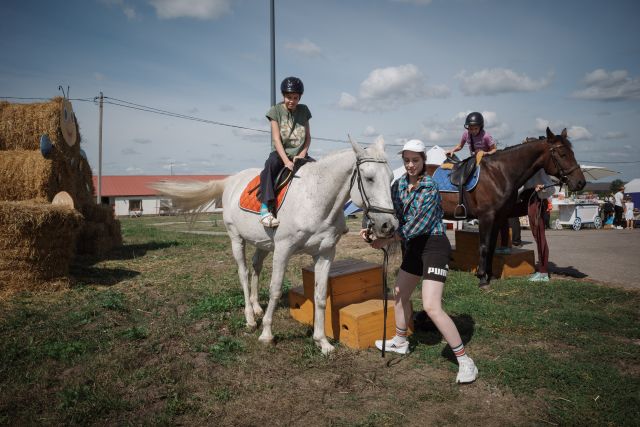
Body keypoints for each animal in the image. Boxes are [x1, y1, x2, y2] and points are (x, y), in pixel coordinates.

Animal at [152, 137, 398, 354]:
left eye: (391, 178)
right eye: (369, 178)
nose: (388, 225)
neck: (314, 199)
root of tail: (231, 180)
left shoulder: (326, 253)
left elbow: (320, 296)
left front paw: (322, 342)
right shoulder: (283, 249)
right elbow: (276, 289)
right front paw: (267, 334)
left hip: (262, 244)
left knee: (255, 266)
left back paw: (256, 307)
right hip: (236, 239)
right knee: (243, 273)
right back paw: (250, 318)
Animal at [428, 127, 588, 288]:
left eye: (572, 153)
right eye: (562, 154)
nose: (581, 182)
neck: (498, 173)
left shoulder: (498, 217)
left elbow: (492, 246)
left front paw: (489, 274)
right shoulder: (486, 216)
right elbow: (484, 246)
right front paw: (482, 277)